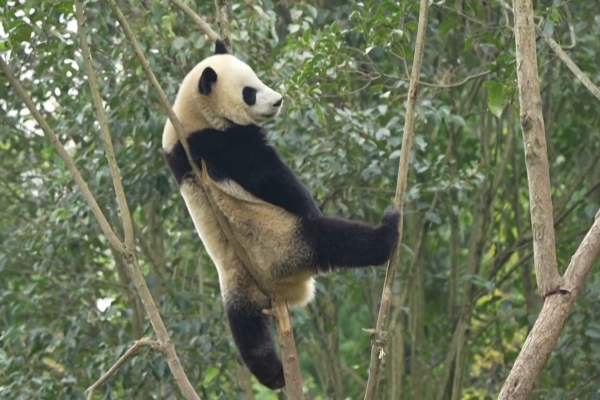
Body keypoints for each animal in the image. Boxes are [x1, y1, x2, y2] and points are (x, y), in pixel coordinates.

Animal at [162, 40, 400, 390]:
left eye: (258, 79)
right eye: (249, 92)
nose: (278, 100)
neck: (189, 114)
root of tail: (279, 284)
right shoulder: (215, 143)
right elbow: (269, 177)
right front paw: (309, 202)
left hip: (237, 282)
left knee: (247, 331)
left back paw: (273, 374)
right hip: (284, 240)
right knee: (333, 239)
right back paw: (386, 233)